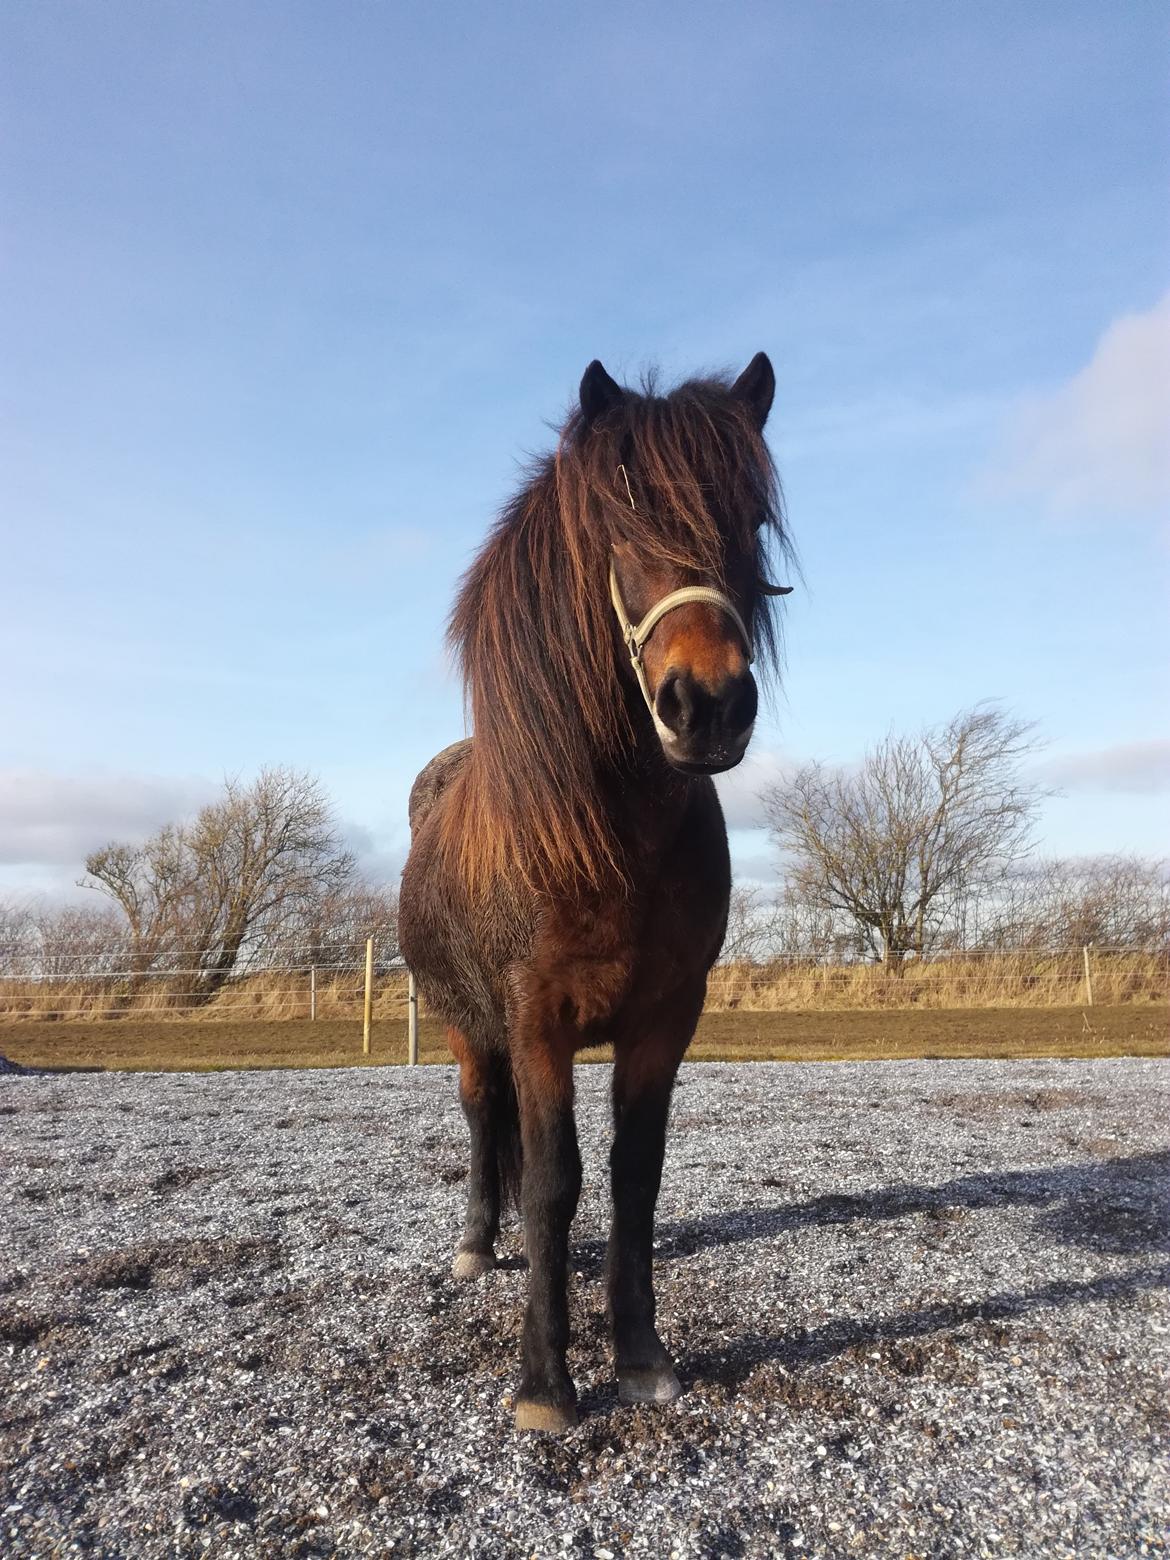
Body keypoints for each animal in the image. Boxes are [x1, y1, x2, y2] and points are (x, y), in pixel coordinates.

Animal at [399, 347, 792, 1428]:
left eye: (751, 520)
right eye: (620, 523)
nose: (708, 704)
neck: (612, 838)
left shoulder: (666, 1018)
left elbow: (633, 1177)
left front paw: (640, 1353)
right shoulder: (536, 1019)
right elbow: (552, 1181)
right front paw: (546, 1380)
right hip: (466, 1025)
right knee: (482, 1120)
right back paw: (476, 1246)